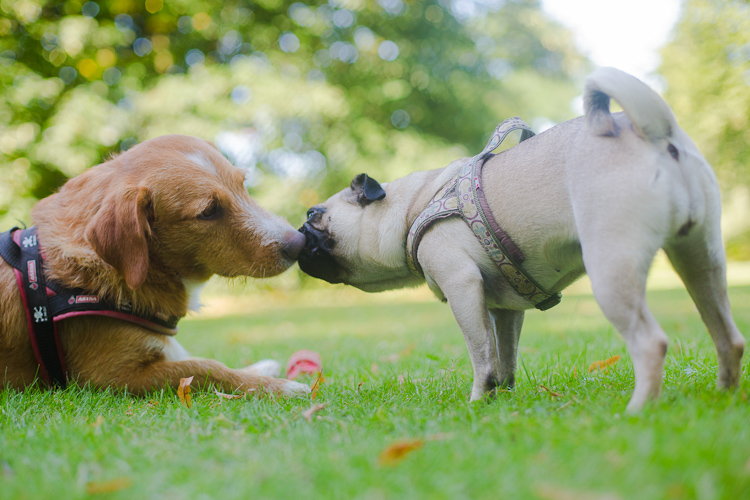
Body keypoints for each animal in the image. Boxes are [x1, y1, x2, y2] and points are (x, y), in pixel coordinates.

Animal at [0, 135, 312, 396]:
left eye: (243, 184)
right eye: (209, 211)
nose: (300, 243)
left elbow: (192, 357)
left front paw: (260, 369)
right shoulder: (108, 376)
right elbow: (204, 367)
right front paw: (278, 386)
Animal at [300, 67, 748, 410]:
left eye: (314, 217)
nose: (299, 233)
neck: (413, 207)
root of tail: (652, 131)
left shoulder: (462, 286)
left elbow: (481, 355)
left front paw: (478, 401)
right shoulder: (503, 310)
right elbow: (506, 357)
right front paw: (505, 398)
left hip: (612, 268)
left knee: (651, 343)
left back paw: (639, 409)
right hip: (701, 259)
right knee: (727, 335)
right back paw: (722, 396)